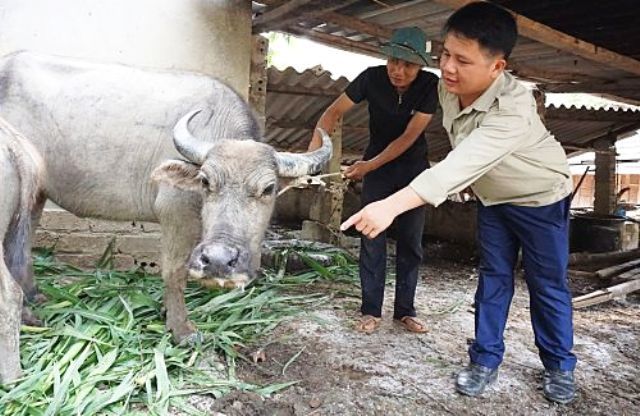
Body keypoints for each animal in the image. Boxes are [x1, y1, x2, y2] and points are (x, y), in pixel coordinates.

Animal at [0, 51, 330, 358]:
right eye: (205, 182)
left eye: (269, 188)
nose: (219, 260)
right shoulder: (175, 213)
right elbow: (174, 270)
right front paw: (181, 330)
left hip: (36, 194)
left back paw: (36, 299)